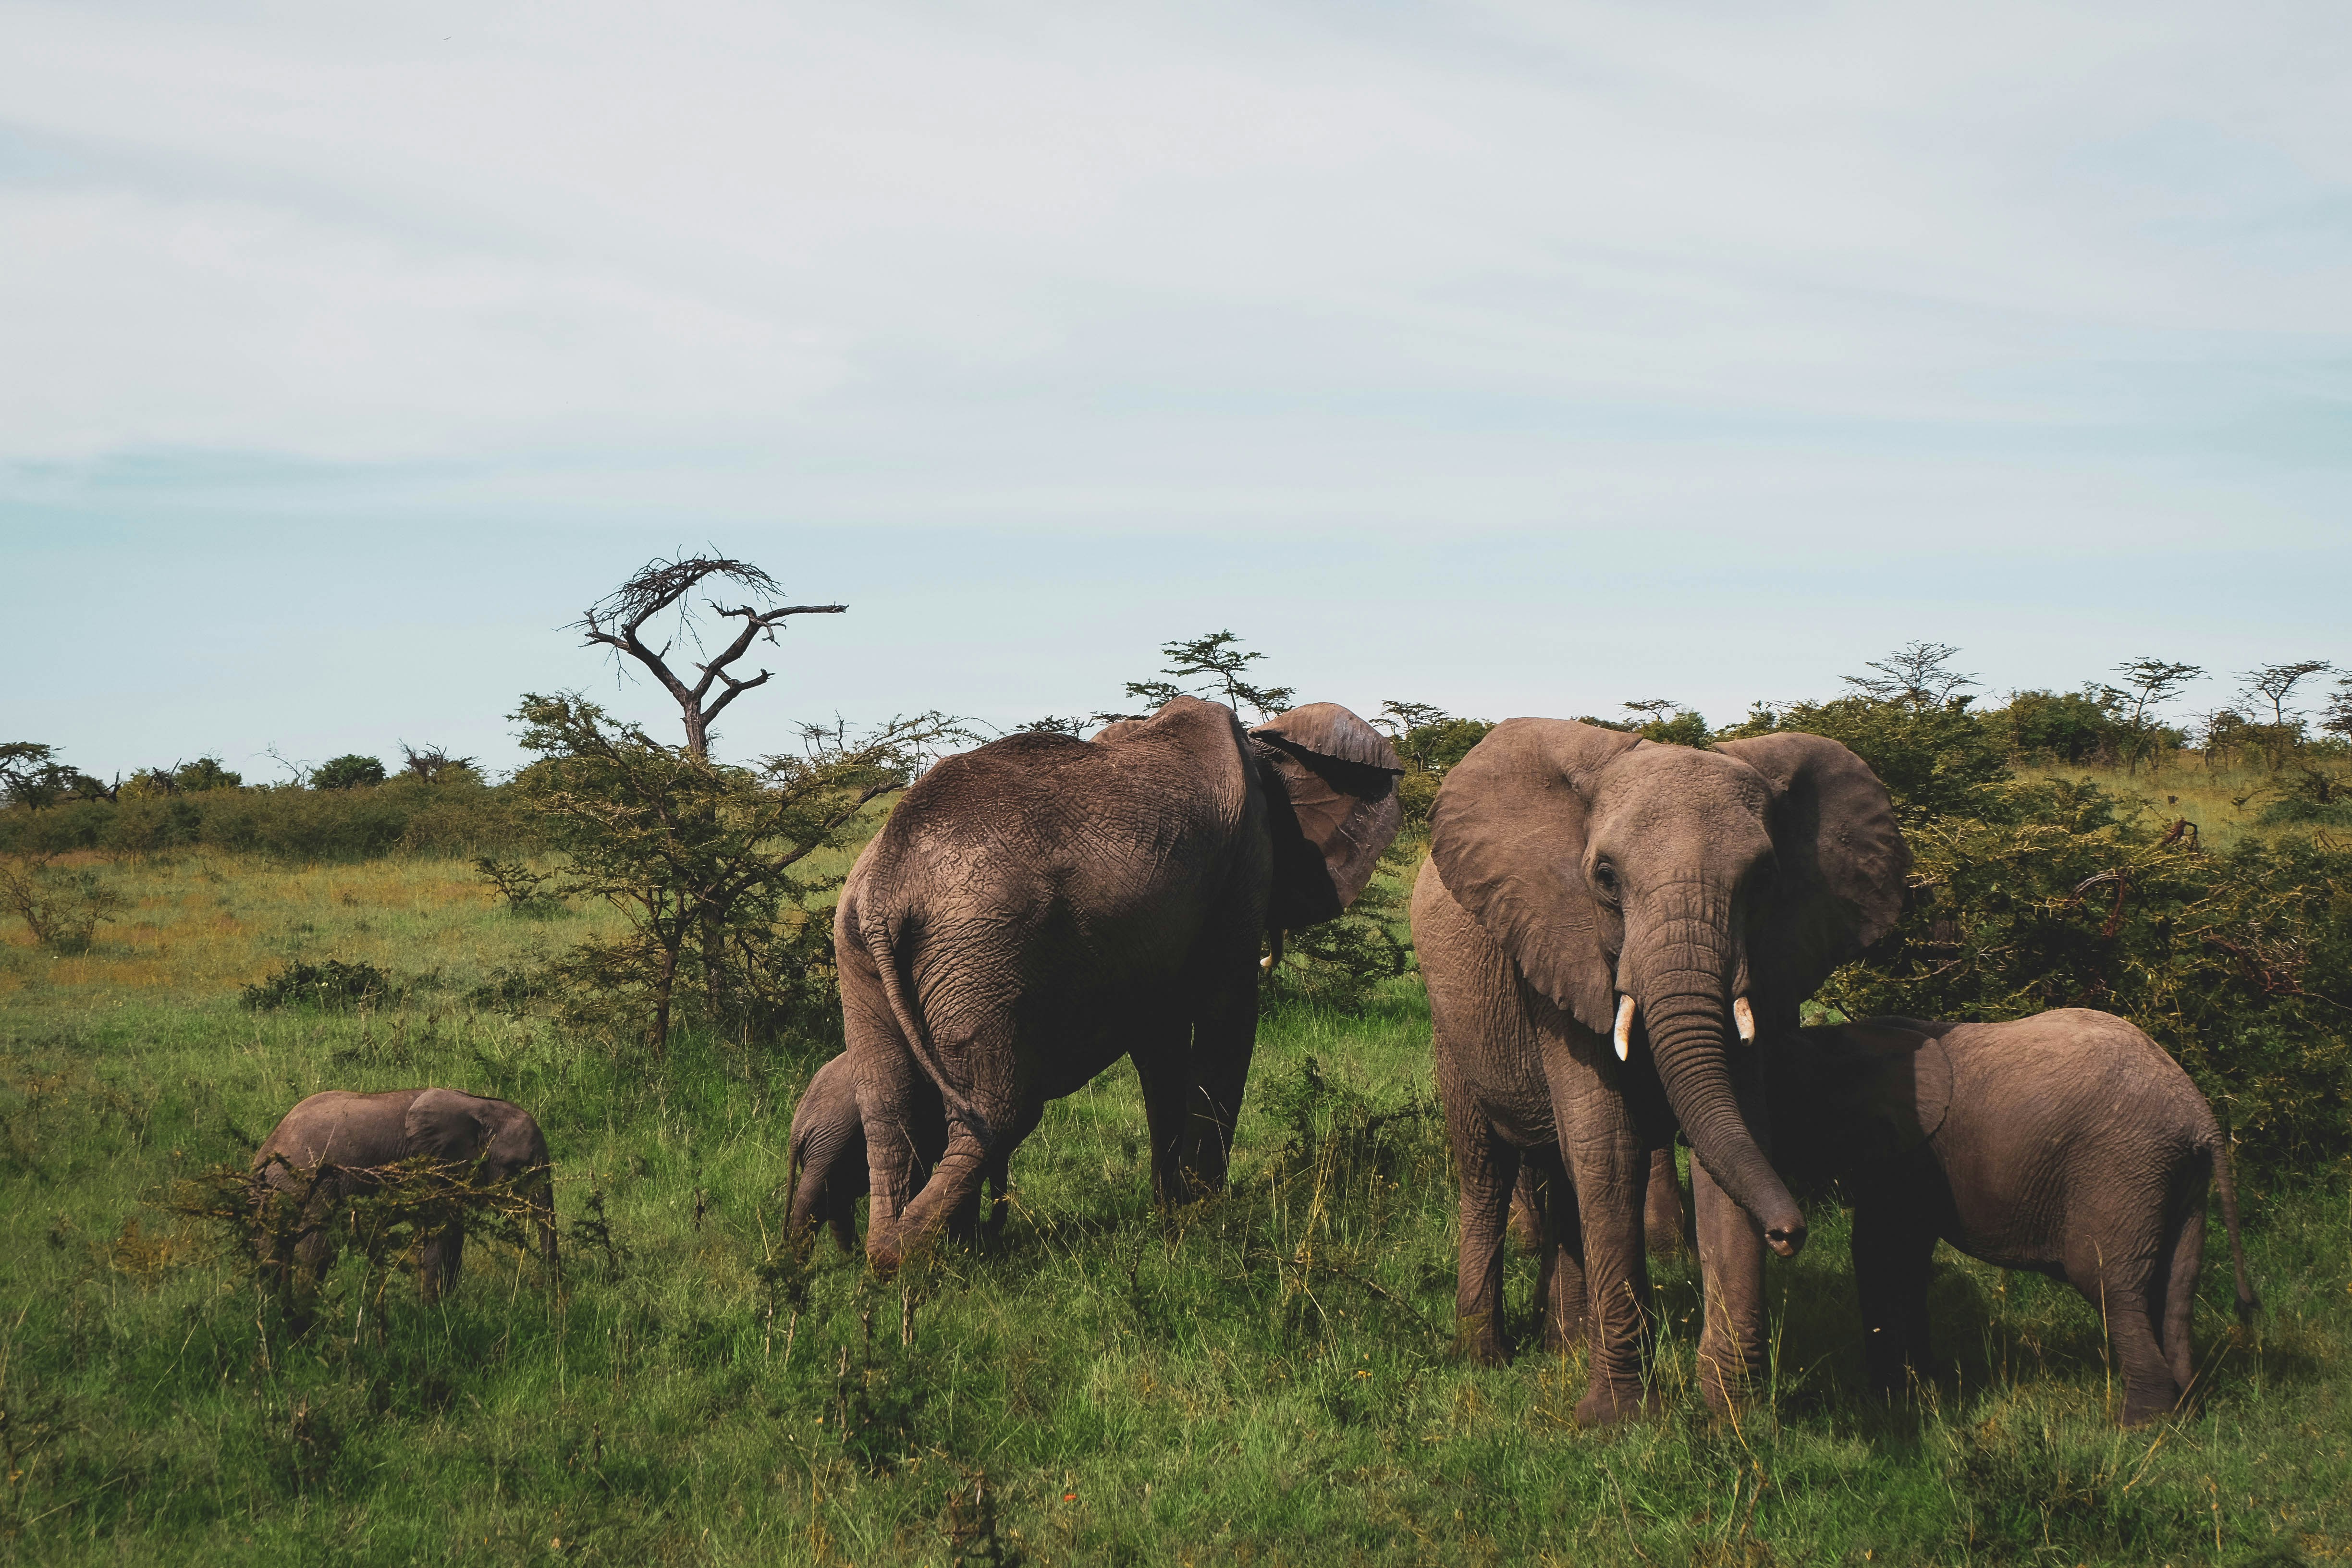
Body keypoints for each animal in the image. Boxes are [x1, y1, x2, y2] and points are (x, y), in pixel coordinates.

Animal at [252, 1088, 557, 1302]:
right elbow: (439, 1234)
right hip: (310, 1179)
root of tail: (265, 1152)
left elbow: (453, 1236)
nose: (548, 1295)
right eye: (518, 1167)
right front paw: (430, 1312)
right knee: (313, 1248)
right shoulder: (432, 1165)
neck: (481, 1106)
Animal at [785, 1053, 1009, 1253]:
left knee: (836, 1201)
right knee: (815, 1200)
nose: (987, 1228)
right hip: (830, 1145)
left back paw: (852, 1258)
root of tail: (798, 1124)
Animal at [839, 695, 1402, 1271]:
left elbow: (1162, 1045)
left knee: (889, 1103)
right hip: (982, 947)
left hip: (868, 950)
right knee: (1000, 1110)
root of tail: (887, 884)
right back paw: (919, 1253)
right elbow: (1225, 1023)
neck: (1265, 745)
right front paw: (1205, 1218)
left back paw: (906, 1249)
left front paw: (1171, 1212)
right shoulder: (1241, 865)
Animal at [1413, 720, 1909, 1422]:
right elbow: (1610, 1150)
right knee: (1486, 1170)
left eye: (1764, 879)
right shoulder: (1560, 947)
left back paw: (1565, 1346)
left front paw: (1732, 1418)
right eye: (1606, 877)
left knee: (1560, 1170)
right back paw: (1486, 1357)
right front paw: (1617, 1421)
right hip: (1453, 1028)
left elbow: (1731, 1144)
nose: (1789, 1235)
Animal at [1764, 1009, 2255, 1425]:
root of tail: (2199, 1113)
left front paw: (1887, 1397)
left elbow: (1878, 1252)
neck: (1836, 1039)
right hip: (2182, 1179)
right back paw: (2186, 1412)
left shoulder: (1904, 1155)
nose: (1784, 1236)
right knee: (2176, 1289)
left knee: (2110, 1286)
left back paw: (2137, 1428)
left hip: (2122, 1169)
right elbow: (1908, 1258)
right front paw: (1924, 1383)